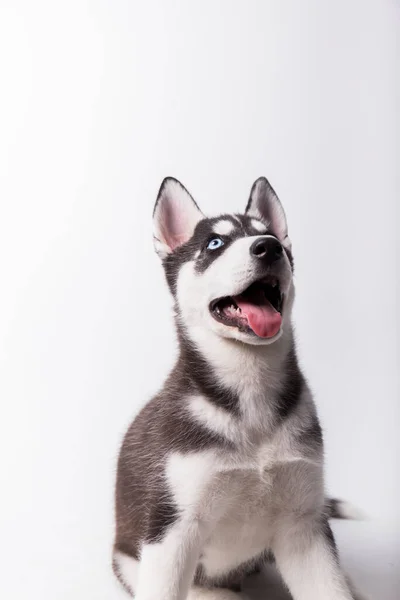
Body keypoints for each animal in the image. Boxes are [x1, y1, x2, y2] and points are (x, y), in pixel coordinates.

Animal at [112, 177, 366, 600]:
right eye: (215, 243)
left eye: (270, 235)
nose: (269, 247)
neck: (250, 386)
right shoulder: (172, 528)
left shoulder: (304, 526)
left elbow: (328, 587)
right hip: (131, 560)